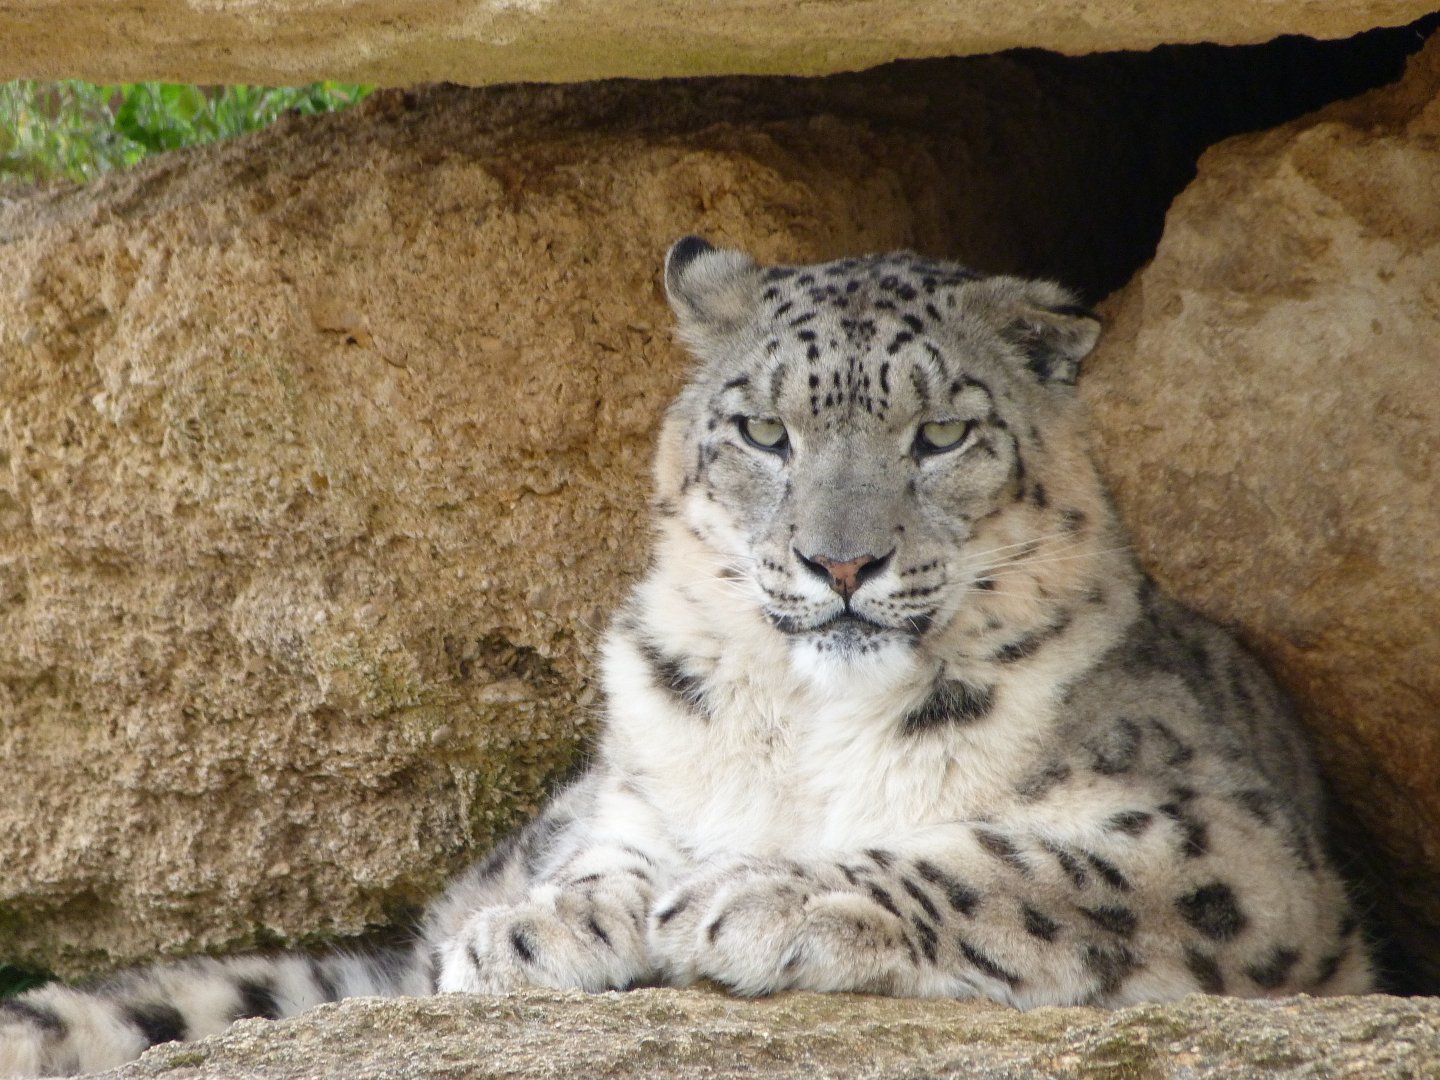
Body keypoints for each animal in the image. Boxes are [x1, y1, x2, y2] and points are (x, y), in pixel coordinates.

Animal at [0, 237, 1370, 1076]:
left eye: (940, 434)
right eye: (763, 430)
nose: (840, 562)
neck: (811, 731)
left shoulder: (1217, 838)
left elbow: (1001, 864)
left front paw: (765, 896)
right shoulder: (640, 782)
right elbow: (611, 850)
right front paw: (541, 928)